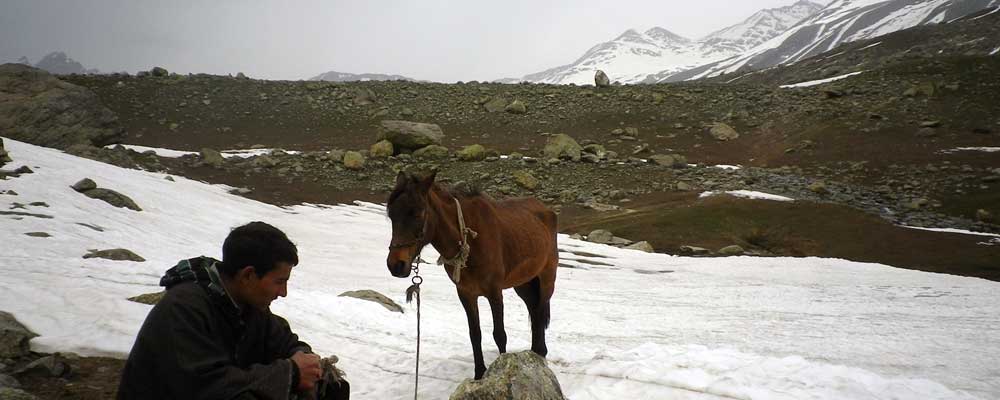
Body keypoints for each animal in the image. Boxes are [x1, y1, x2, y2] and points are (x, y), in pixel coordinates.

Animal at [386, 170, 560, 380]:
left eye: (418, 213)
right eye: (391, 215)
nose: (395, 265)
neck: (469, 242)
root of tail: (546, 210)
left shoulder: (494, 292)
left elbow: (499, 334)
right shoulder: (465, 293)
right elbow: (474, 334)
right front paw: (479, 373)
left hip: (546, 278)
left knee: (540, 313)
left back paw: (540, 353)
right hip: (524, 283)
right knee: (534, 311)